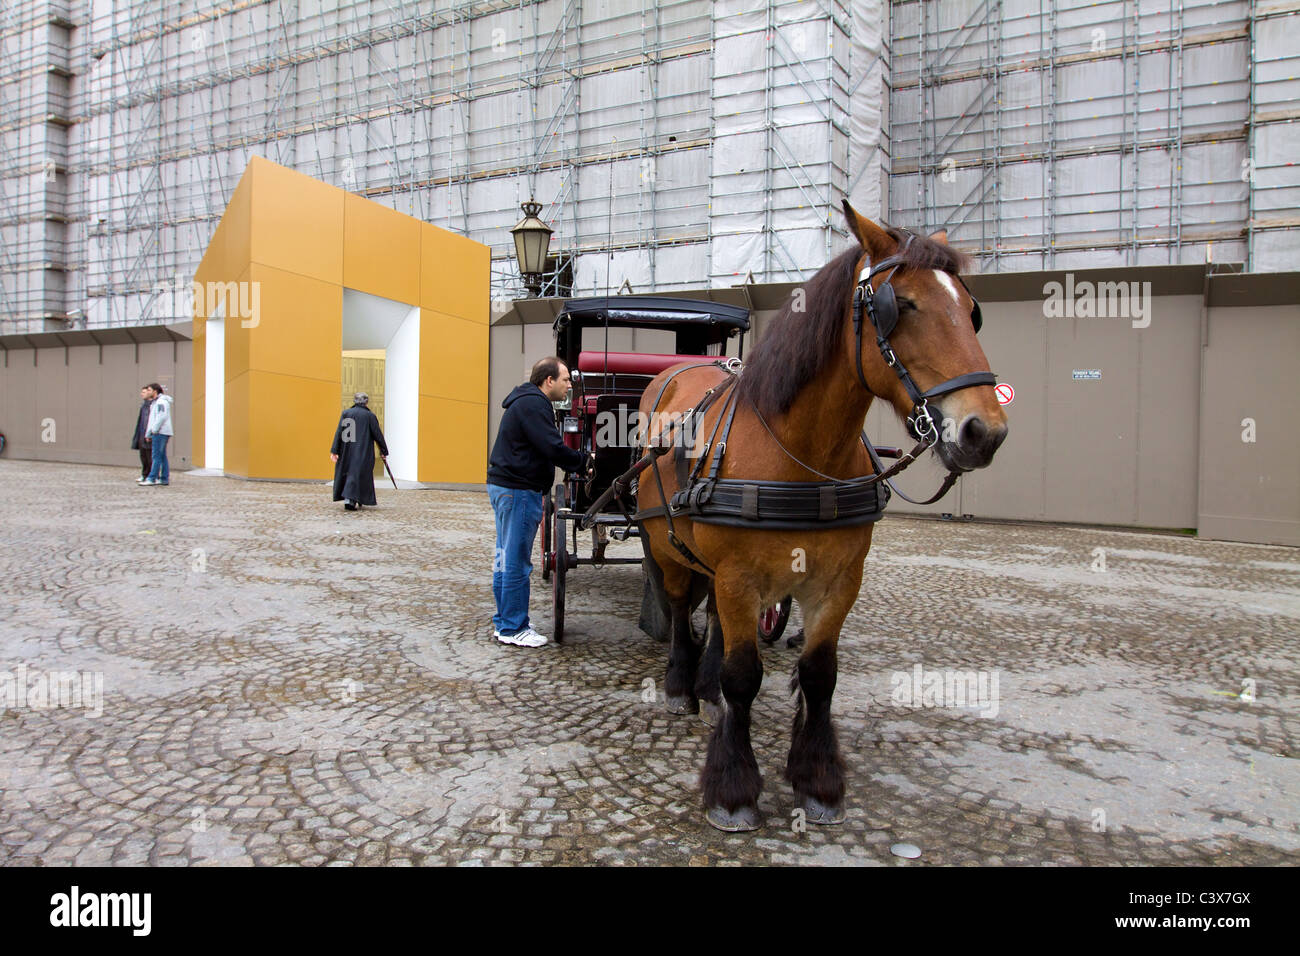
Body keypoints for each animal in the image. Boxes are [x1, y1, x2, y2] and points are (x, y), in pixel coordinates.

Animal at [634, 201, 1008, 832]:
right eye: (902, 305)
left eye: (971, 310)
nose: (984, 432)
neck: (799, 451)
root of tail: (671, 373)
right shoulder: (739, 576)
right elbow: (745, 675)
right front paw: (733, 788)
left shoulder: (838, 581)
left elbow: (818, 674)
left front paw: (817, 779)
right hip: (667, 547)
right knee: (683, 607)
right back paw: (683, 684)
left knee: (711, 616)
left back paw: (705, 688)